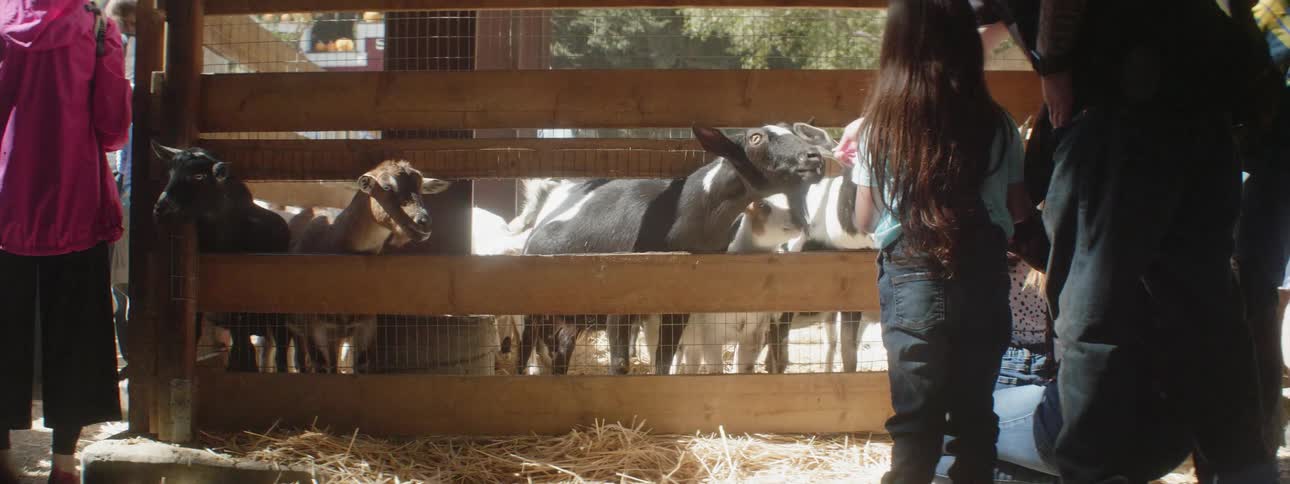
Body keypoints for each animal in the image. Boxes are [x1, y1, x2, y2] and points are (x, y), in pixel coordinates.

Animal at [152, 143, 295, 373]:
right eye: (170, 173)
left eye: (199, 176)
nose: (160, 209)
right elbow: (197, 332)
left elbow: (244, 345)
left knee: (280, 341)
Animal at [287, 160, 451, 373]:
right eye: (387, 187)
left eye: (421, 187)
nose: (424, 222)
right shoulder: (315, 325)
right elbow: (322, 365)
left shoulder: (365, 324)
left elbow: (362, 364)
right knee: (302, 360)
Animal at [519, 123, 829, 375]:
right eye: (756, 138)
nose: (815, 158)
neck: (686, 213)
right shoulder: (619, 303)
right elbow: (620, 365)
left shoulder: (678, 304)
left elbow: (664, 360)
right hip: (534, 311)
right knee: (525, 353)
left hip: (569, 319)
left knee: (560, 353)